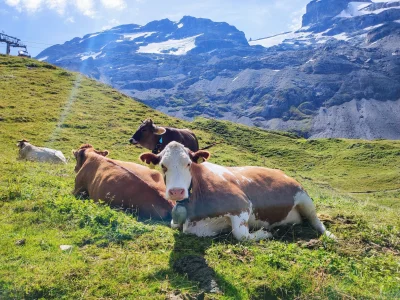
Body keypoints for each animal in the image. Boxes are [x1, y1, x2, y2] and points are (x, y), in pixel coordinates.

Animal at [139, 141, 336, 241]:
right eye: (162, 165)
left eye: (188, 163)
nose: (176, 192)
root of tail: (280, 171)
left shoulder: (241, 204)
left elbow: (241, 234)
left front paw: (264, 233)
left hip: (304, 197)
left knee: (315, 220)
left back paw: (329, 235)